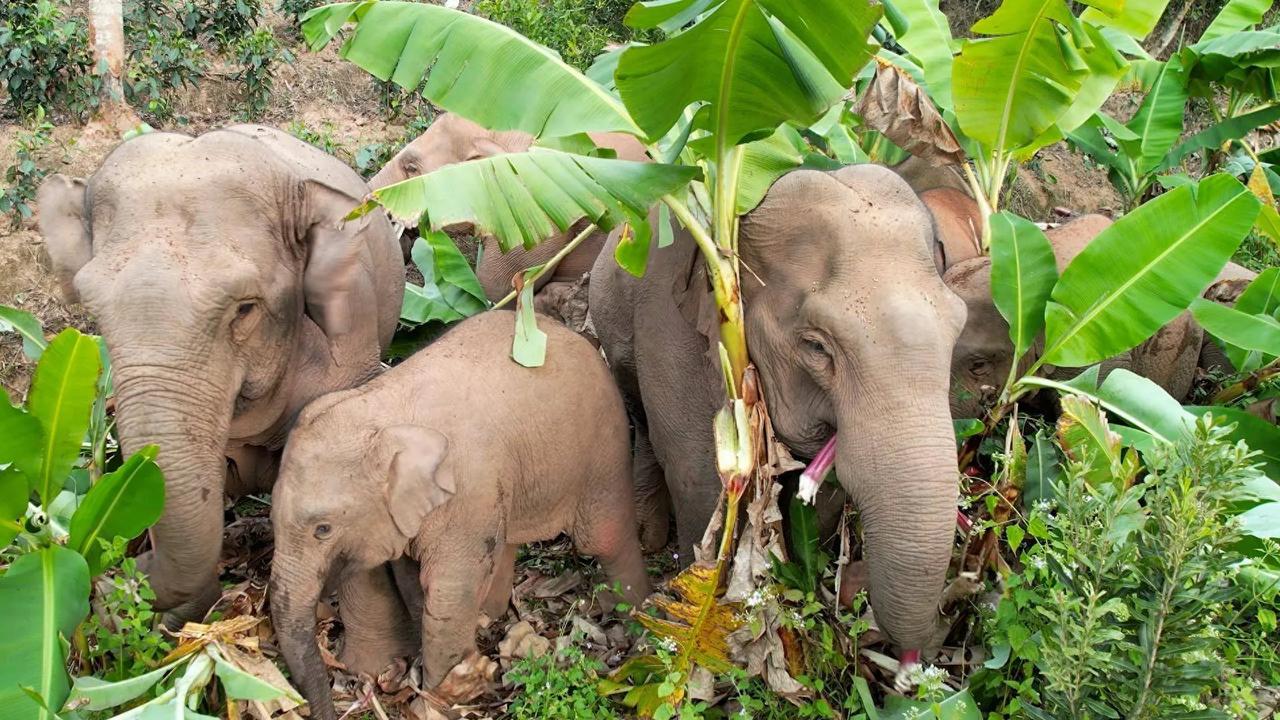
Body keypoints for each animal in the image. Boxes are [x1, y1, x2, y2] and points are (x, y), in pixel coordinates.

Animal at [270, 310, 650, 720]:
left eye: (322, 529)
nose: (345, 700)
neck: (381, 405)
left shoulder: (467, 490)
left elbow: (448, 591)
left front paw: (441, 699)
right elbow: (412, 577)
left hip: (604, 444)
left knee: (604, 537)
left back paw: (642, 623)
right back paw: (491, 616)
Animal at [589, 165, 968, 656]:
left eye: (959, 325)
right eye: (816, 346)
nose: (915, 653)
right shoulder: (671, 330)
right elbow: (698, 473)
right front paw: (706, 603)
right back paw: (649, 535)